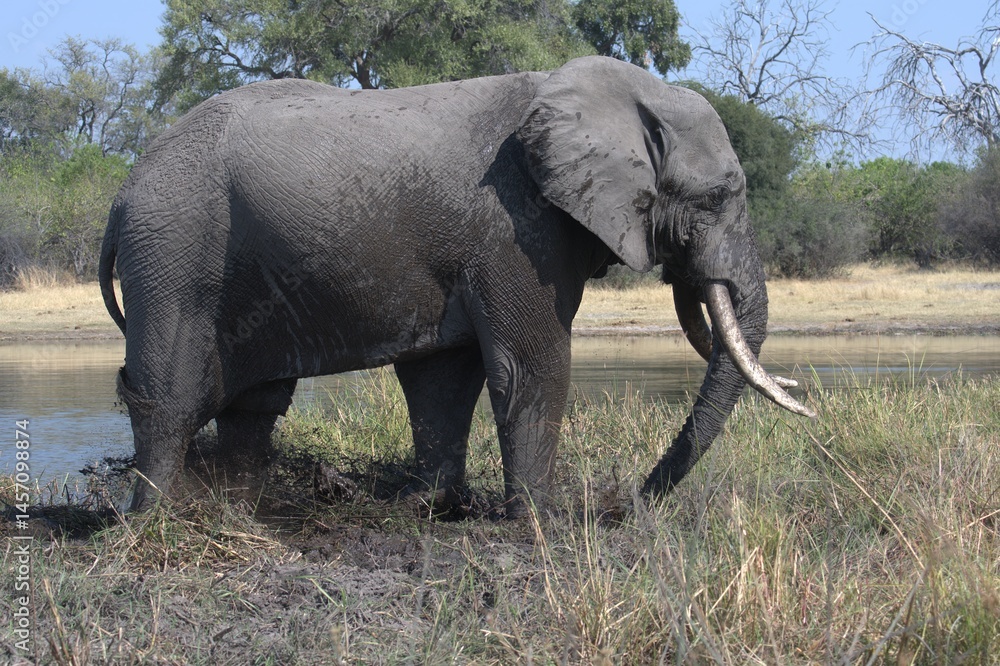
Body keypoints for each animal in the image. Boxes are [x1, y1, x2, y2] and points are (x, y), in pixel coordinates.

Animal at [99, 55, 813, 515]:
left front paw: (435, 508)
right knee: (169, 394)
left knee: (254, 404)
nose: (631, 502)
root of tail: (124, 191)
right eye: (716, 198)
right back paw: (154, 523)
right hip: (174, 248)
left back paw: (234, 514)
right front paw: (542, 520)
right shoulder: (516, 227)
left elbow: (444, 375)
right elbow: (532, 363)